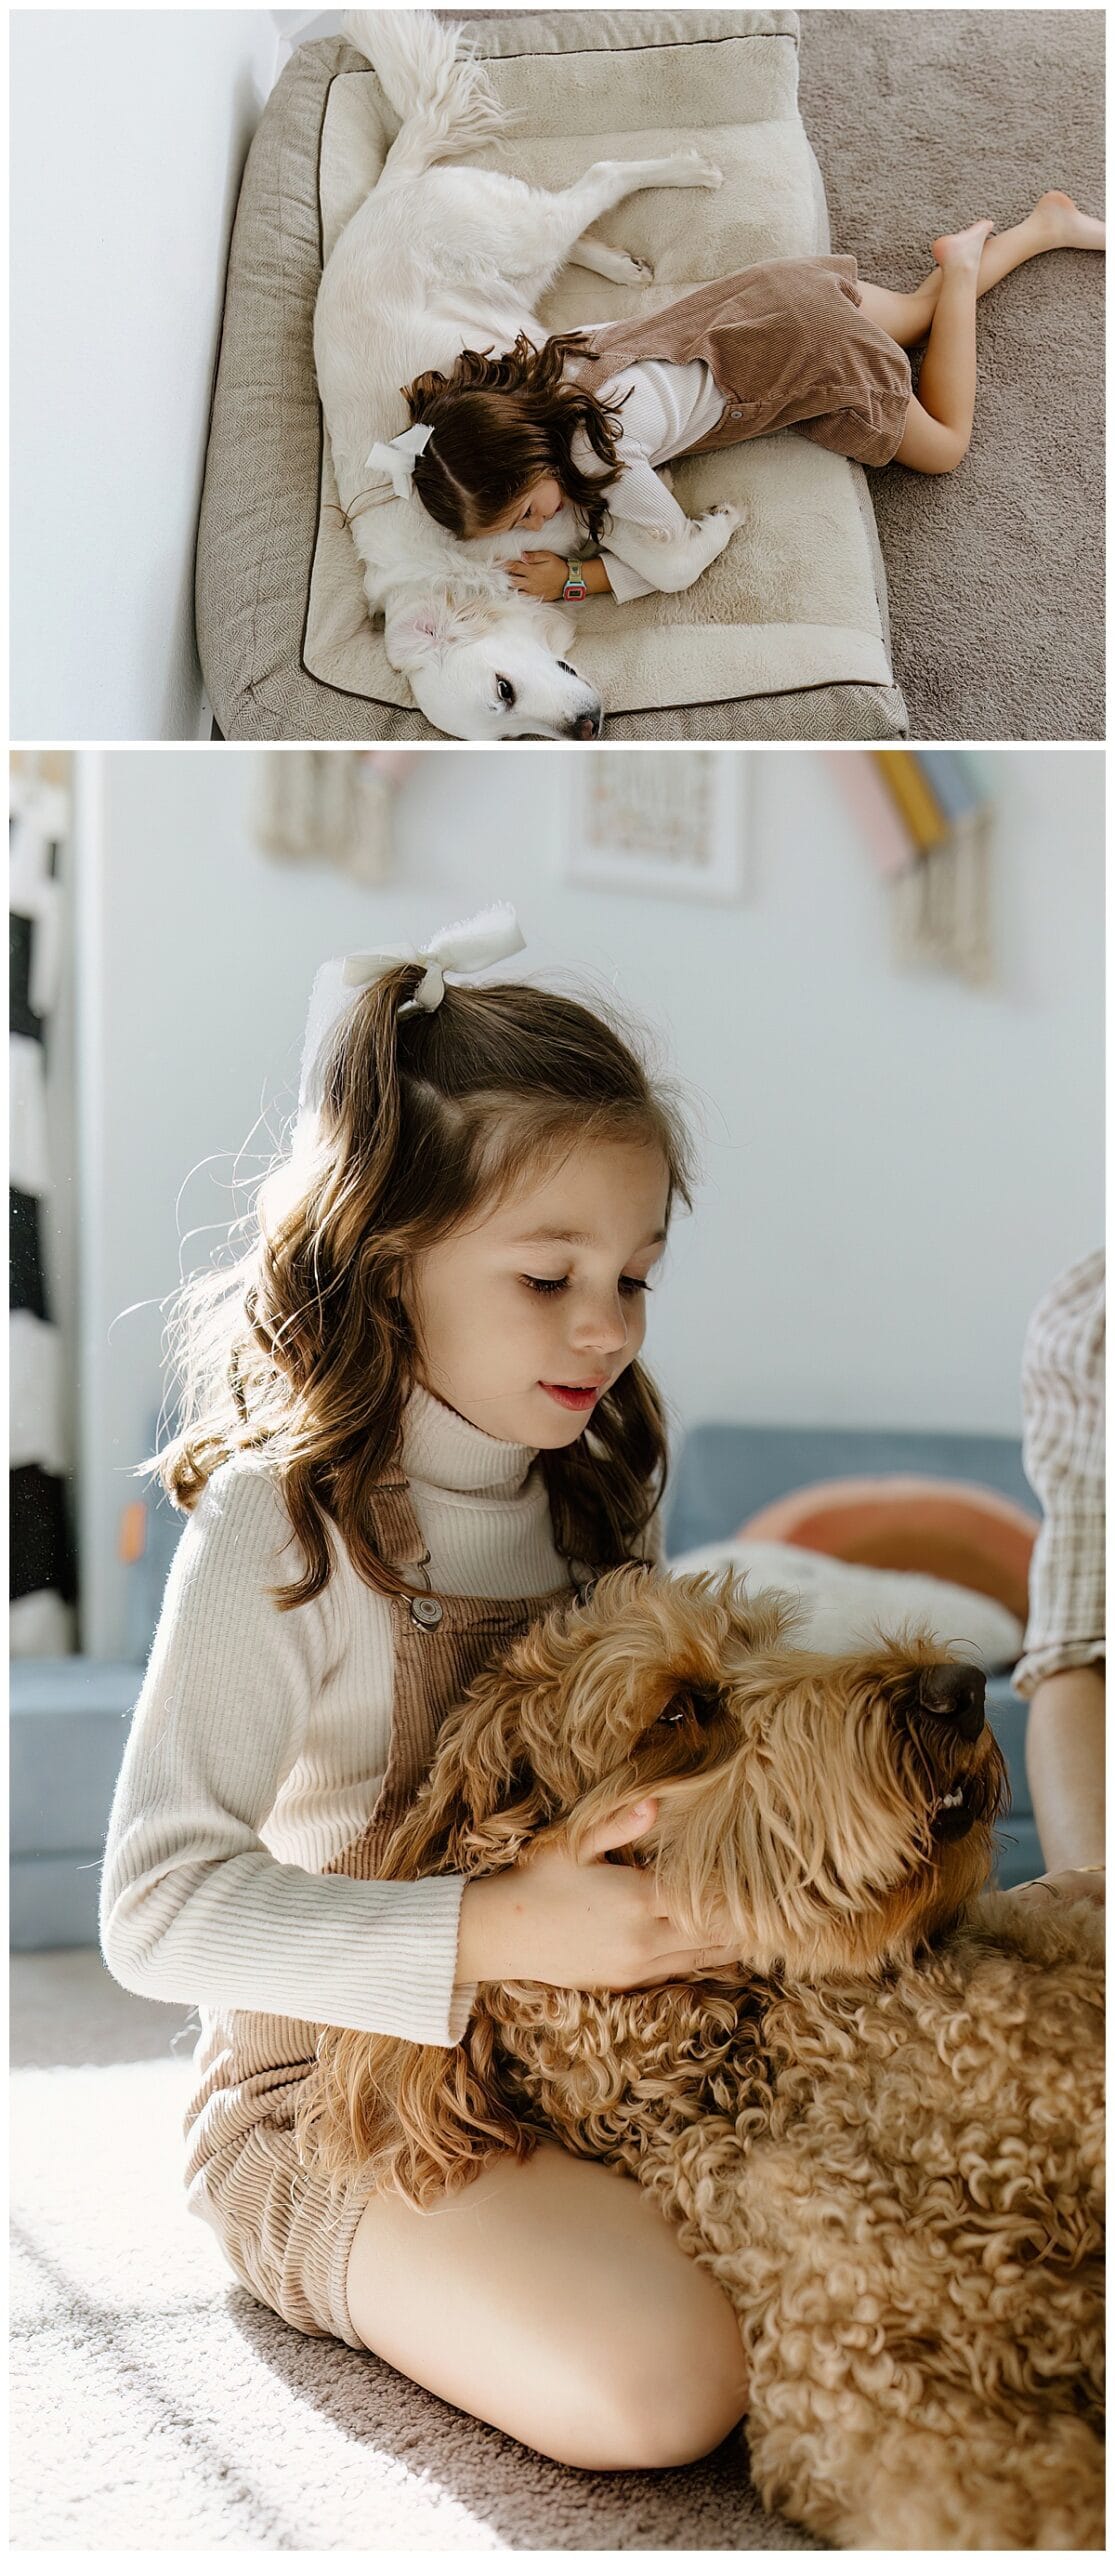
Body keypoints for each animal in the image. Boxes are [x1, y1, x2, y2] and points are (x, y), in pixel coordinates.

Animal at [313, 15, 741, 742]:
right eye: (512, 733)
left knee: (598, 176)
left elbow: (665, 562)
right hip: (519, 271)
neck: (457, 565)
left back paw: (688, 167)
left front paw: (717, 519)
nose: (588, 728)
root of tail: (384, 189)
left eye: (503, 688)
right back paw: (620, 264)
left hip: (514, 232)